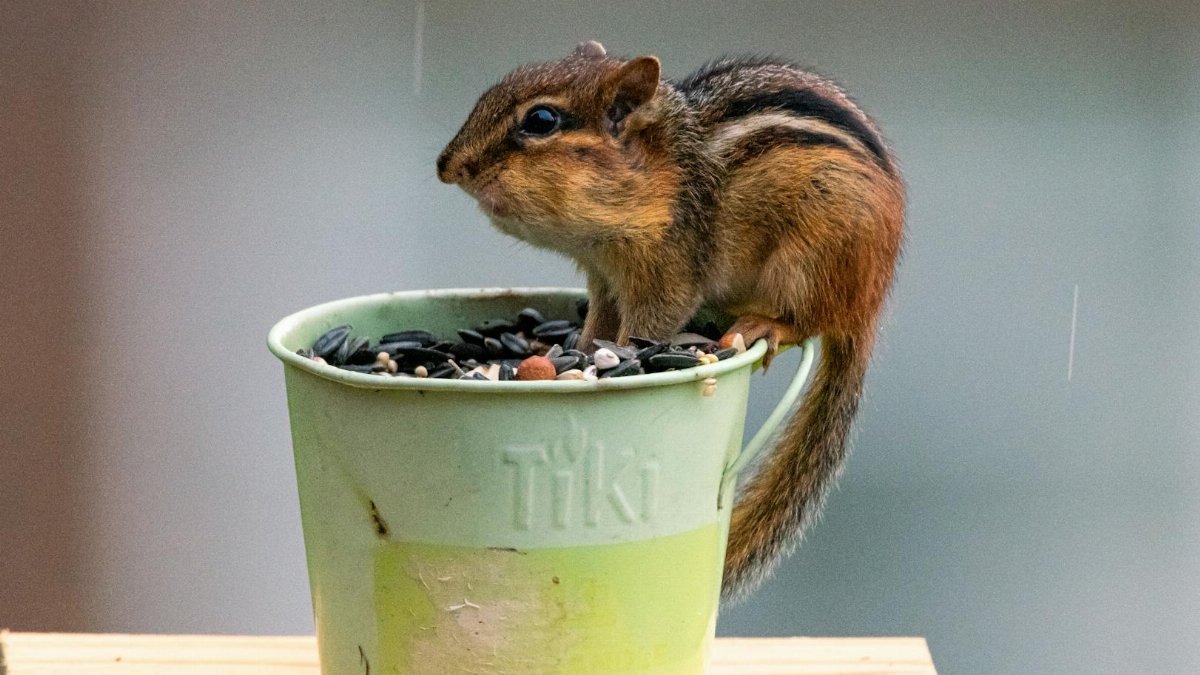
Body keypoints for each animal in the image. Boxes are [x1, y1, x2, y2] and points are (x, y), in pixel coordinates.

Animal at [437, 40, 904, 600]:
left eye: (541, 120)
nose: (446, 166)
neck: (655, 174)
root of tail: (869, 307)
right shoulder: (604, 278)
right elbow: (598, 325)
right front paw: (576, 350)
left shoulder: (668, 269)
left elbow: (653, 320)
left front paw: (612, 359)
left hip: (814, 255)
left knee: (808, 321)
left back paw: (764, 327)